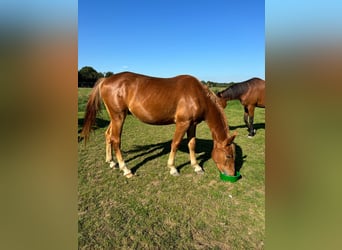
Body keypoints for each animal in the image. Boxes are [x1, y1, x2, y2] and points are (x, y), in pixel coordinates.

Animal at [80, 71, 236, 179]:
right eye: (229, 156)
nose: (232, 174)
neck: (197, 95)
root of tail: (106, 80)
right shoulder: (182, 123)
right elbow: (175, 144)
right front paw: (172, 168)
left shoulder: (192, 124)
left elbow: (192, 144)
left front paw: (196, 166)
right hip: (119, 117)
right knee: (116, 140)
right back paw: (125, 169)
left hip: (115, 117)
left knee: (108, 136)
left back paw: (111, 161)